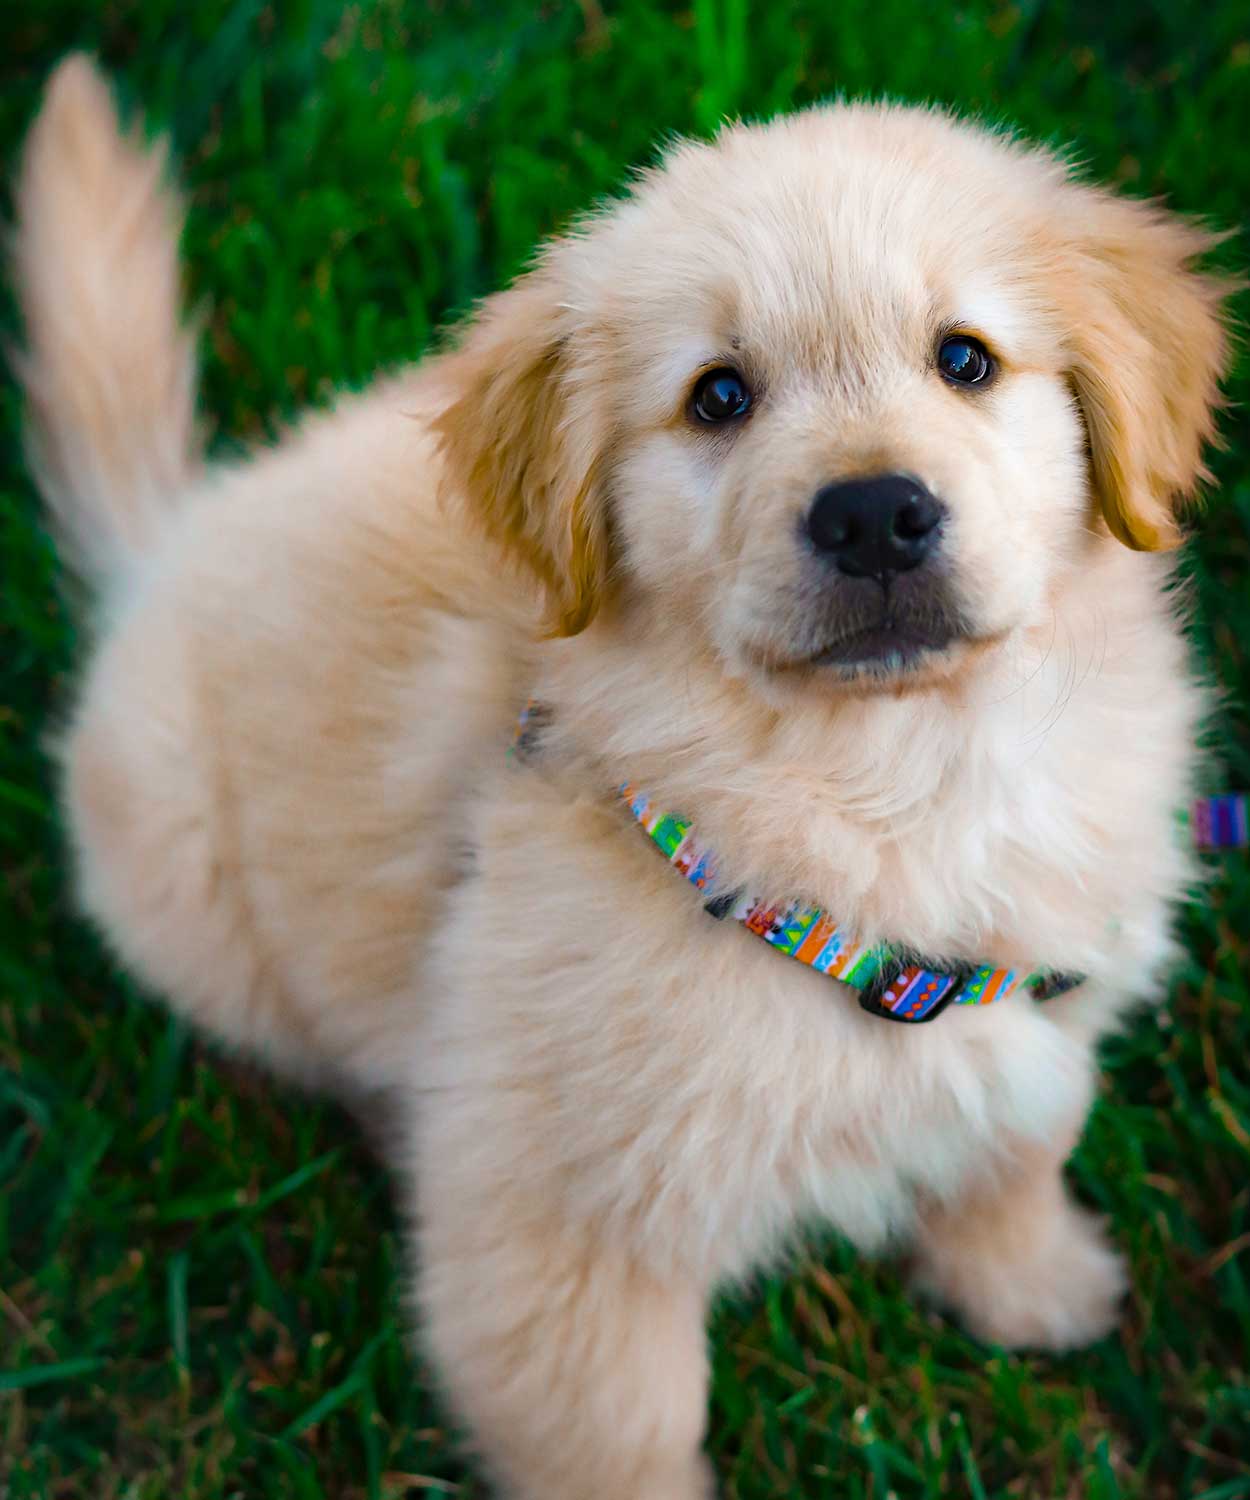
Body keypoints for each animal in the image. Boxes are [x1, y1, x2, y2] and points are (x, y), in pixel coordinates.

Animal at [14, 52, 1236, 1494]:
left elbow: (1012, 1148)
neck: (890, 785)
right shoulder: (563, 1225)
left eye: (964, 360)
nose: (874, 514)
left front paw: (1034, 1287)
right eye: (717, 397)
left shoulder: (1034, 1005)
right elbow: (613, 1431)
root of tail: (164, 547)